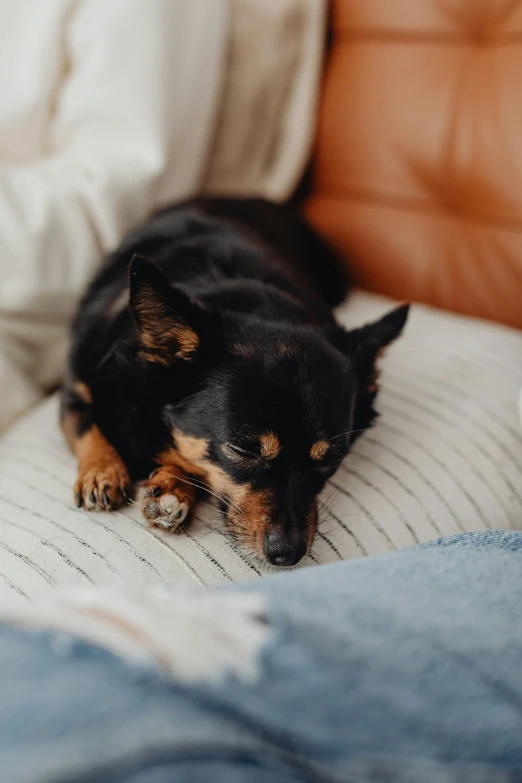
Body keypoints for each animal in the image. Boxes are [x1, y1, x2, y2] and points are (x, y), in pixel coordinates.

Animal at [61, 199, 406, 568]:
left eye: (330, 461)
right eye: (242, 451)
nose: (288, 554)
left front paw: (173, 487)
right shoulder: (75, 389)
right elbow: (87, 425)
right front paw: (103, 472)